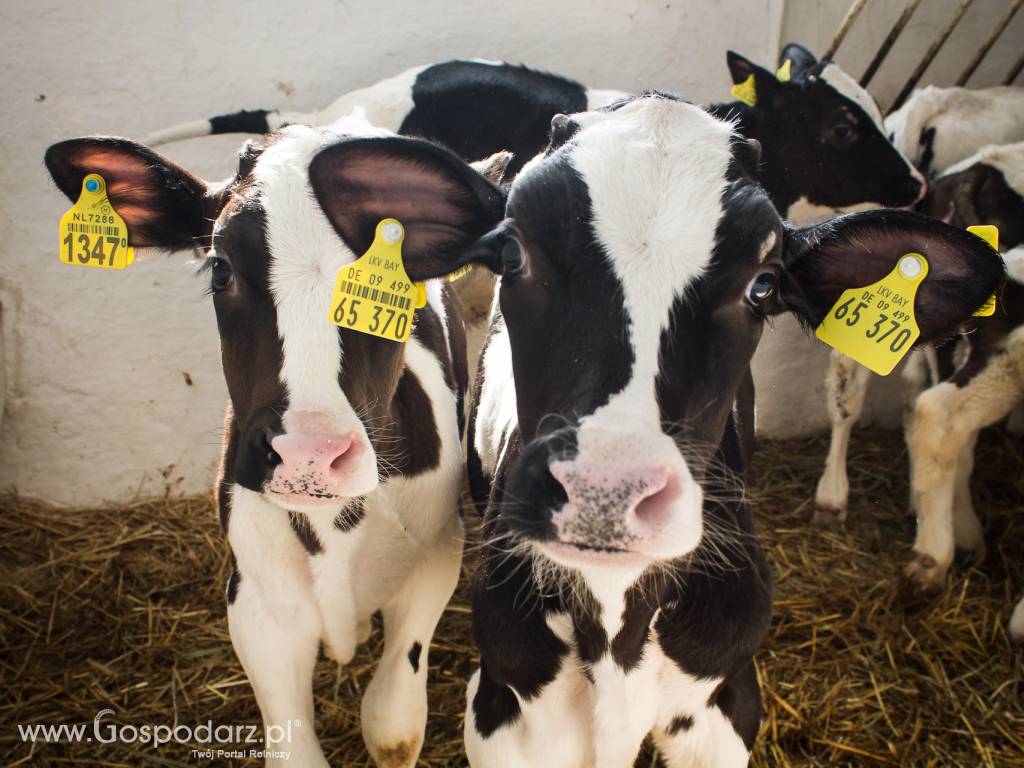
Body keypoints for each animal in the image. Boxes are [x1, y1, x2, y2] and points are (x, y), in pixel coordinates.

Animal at [45, 117, 507, 765]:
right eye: (220, 268)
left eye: (402, 285)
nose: (308, 454)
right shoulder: (256, 601)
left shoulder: (436, 558)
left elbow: (392, 727)